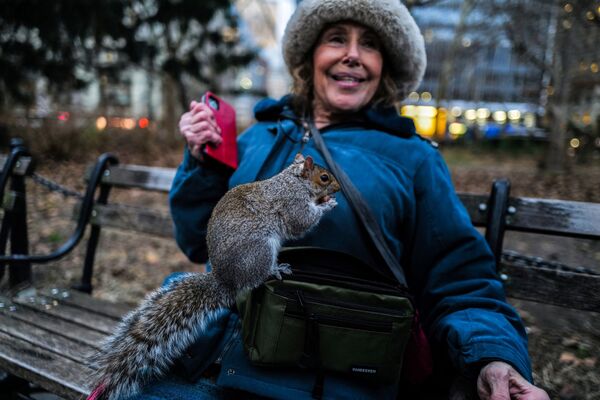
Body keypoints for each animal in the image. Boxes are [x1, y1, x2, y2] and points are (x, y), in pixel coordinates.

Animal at [89, 153, 342, 400]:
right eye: (324, 177)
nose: (339, 188)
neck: (294, 180)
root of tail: (227, 281)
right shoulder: (292, 203)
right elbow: (302, 221)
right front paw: (328, 204)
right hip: (260, 250)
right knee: (256, 277)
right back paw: (276, 269)